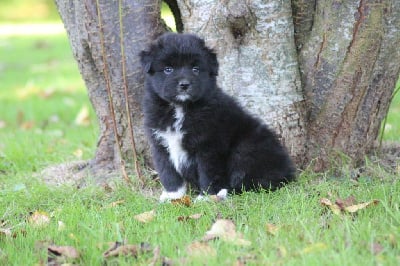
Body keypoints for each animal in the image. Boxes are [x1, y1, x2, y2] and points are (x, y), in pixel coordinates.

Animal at [140, 32, 294, 201]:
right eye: (168, 69)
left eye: (195, 69)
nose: (184, 84)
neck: (181, 108)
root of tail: (289, 173)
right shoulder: (160, 143)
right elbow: (168, 172)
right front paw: (173, 197)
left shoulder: (208, 146)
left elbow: (208, 172)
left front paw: (207, 197)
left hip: (246, 149)